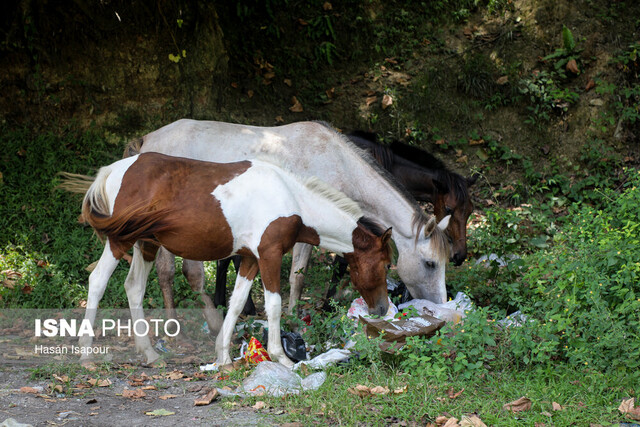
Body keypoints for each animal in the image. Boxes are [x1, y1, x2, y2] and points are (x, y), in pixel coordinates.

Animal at [127, 120, 450, 318]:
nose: (441, 305)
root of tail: (147, 140)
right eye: (430, 264)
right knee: (167, 272)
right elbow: (299, 275)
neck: (337, 164)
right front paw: (294, 315)